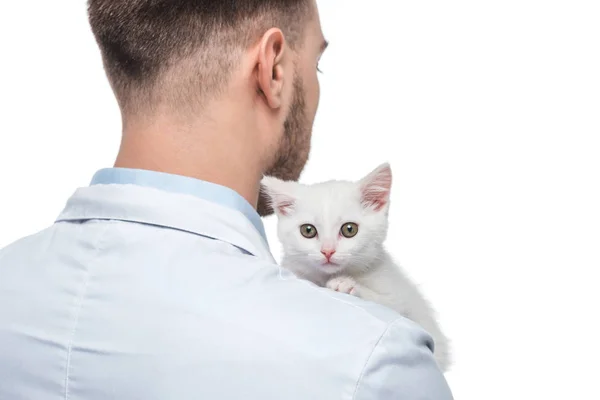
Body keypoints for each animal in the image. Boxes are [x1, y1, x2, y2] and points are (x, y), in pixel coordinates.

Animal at [262, 162, 450, 372]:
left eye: (349, 229)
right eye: (308, 230)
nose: (327, 251)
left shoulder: (400, 297)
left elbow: (389, 302)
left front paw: (345, 284)